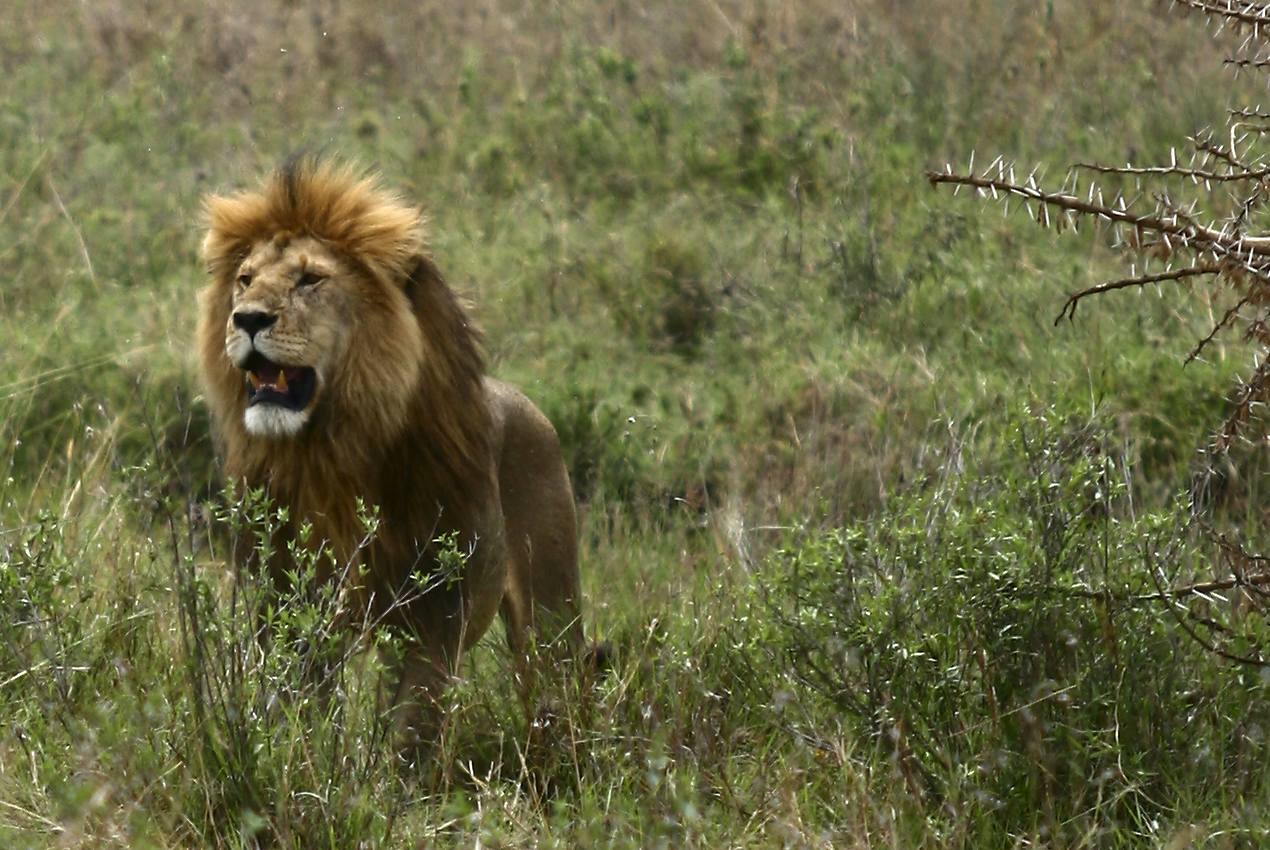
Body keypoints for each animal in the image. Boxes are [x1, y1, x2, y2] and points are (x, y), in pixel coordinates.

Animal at [194, 155, 584, 747]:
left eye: (310, 279)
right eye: (245, 280)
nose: (248, 319)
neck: (330, 454)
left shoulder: (431, 623)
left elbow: (407, 739)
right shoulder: (289, 613)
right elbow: (297, 717)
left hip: (550, 617)